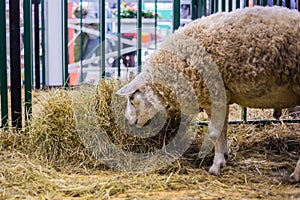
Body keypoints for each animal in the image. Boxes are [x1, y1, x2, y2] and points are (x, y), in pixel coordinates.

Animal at [115, 5, 300, 182]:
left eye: (132, 99)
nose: (128, 122)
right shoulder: (222, 97)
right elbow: (223, 129)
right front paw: (224, 156)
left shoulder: (213, 95)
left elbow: (214, 132)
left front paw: (216, 166)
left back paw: (295, 175)